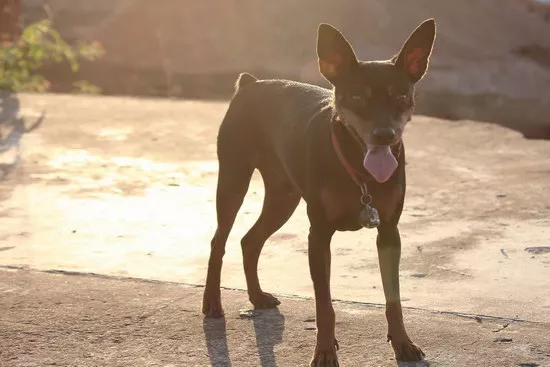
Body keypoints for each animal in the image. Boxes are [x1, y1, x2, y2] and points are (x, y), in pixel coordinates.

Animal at [203, 18, 436, 366]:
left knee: (250, 240)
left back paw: (257, 296)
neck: (359, 170)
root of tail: (250, 84)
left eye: (401, 97)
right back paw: (212, 303)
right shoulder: (320, 235)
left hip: (283, 197)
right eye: (357, 97)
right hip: (233, 178)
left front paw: (403, 344)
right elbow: (324, 306)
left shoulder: (389, 232)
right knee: (219, 240)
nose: (384, 135)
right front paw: (325, 352)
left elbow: (393, 299)